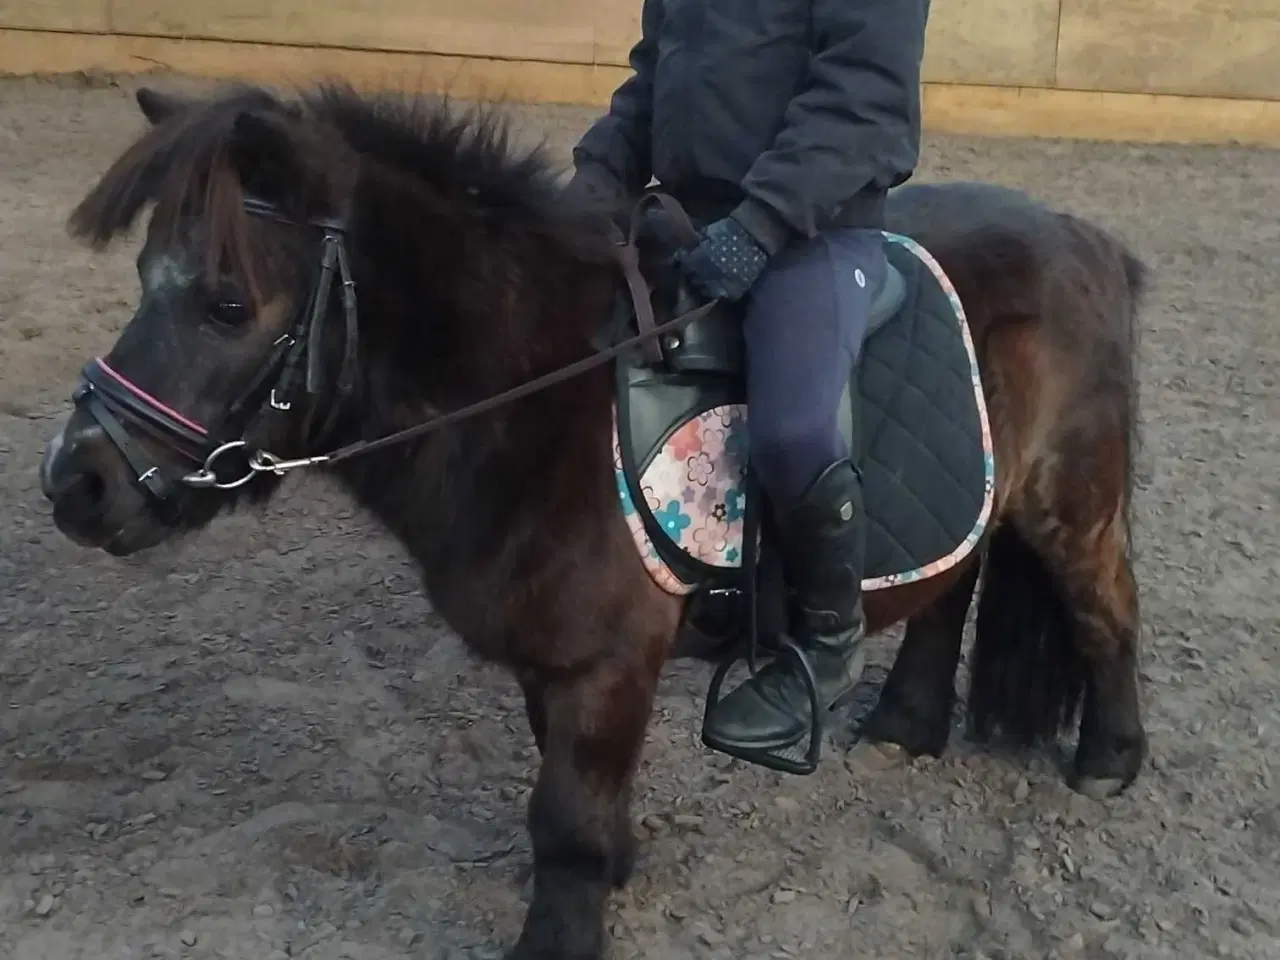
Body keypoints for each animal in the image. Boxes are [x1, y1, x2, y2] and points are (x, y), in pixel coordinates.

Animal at [36, 82, 1148, 959]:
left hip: (1069, 501)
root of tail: (1083, 235)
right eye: (143, 281)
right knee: (950, 583)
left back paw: (1107, 762)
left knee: (1105, 610)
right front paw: (618, 866)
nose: (74, 484)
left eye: (226, 303)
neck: (536, 394)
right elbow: (572, 793)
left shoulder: (602, 660)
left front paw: (562, 935)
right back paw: (905, 728)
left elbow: (562, 819)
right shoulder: (555, 661)